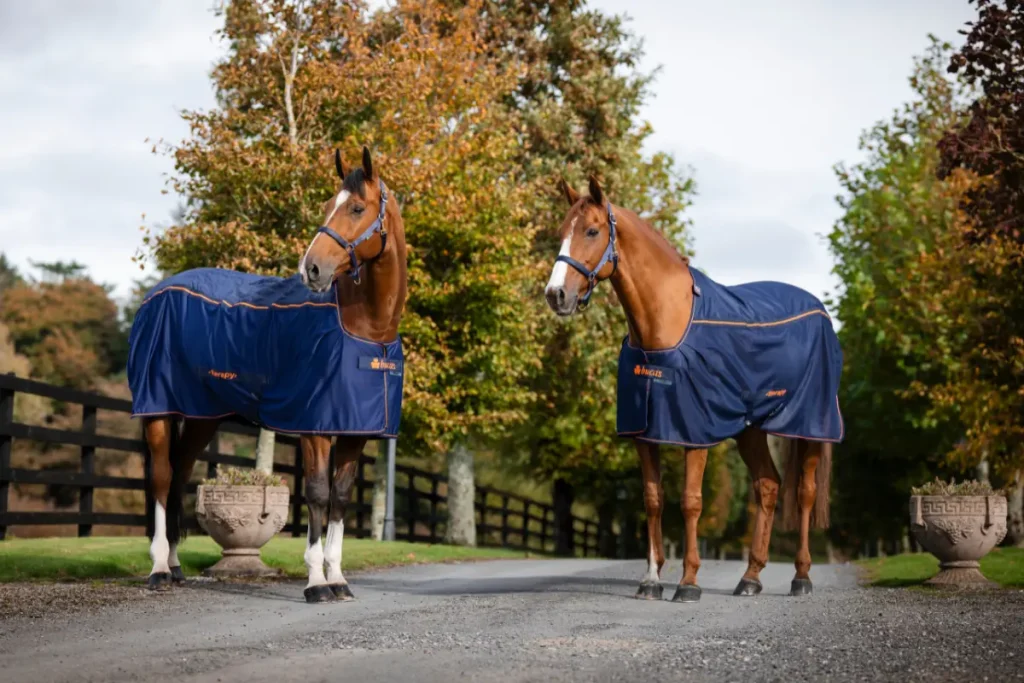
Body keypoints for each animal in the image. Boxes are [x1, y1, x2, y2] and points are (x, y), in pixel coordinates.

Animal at [127, 146, 407, 603]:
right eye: (327, 206)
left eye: (357, 208)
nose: (311, 269)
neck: (365, 330)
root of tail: (156, 294)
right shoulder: (313, 427)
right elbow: (316, 493)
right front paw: (316, 583)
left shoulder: (356, 431)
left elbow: (340, 497)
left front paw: (338, 579)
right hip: (158, 409)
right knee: (163, 477)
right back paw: (158, 569)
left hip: (203, 416)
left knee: (181, 472)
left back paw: (176, 565)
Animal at [544, 176, 842, 602]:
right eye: (561, 232)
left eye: (591, 231)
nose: (556, 295)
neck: (665, 327)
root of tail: (821, 310)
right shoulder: (643, 433)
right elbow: (653, 500)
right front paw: (651, 580)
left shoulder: (694, 432)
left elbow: (690, 502)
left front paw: (688, 583)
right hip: (750, 429)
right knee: (768, 485)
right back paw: (750, 578)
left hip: (810, 426)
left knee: (805, 492)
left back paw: (801, 577)